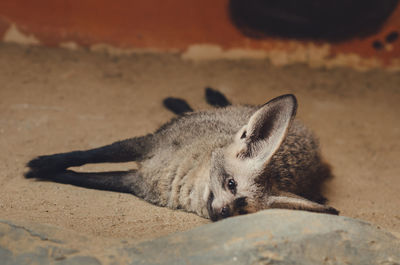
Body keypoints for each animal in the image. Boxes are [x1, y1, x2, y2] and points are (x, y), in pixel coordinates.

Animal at [25, 87, 338, 220]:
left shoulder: (132, 182)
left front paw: (49, 171)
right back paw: (196, 100)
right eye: (231, 184)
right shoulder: (147, 143)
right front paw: (43, 164)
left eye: (243, 208)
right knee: (221, 105)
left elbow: (78, 178)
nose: (224, 213)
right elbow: (87, 155)